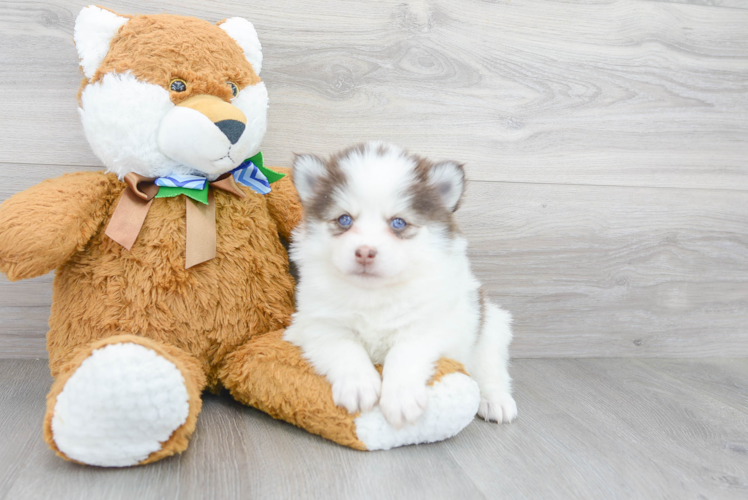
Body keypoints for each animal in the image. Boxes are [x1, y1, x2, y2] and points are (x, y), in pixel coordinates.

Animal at [284, 143, 516, 428]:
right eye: (344, 220)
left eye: (398, 223)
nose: (365, 252)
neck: (373, 294)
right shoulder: (319, 325)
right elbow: (346, 349)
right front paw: (358, 385)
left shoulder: (424, 326)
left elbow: (403, 355)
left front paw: (401, 398)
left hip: (489, 325)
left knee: (490, 368)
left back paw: (496, 401)